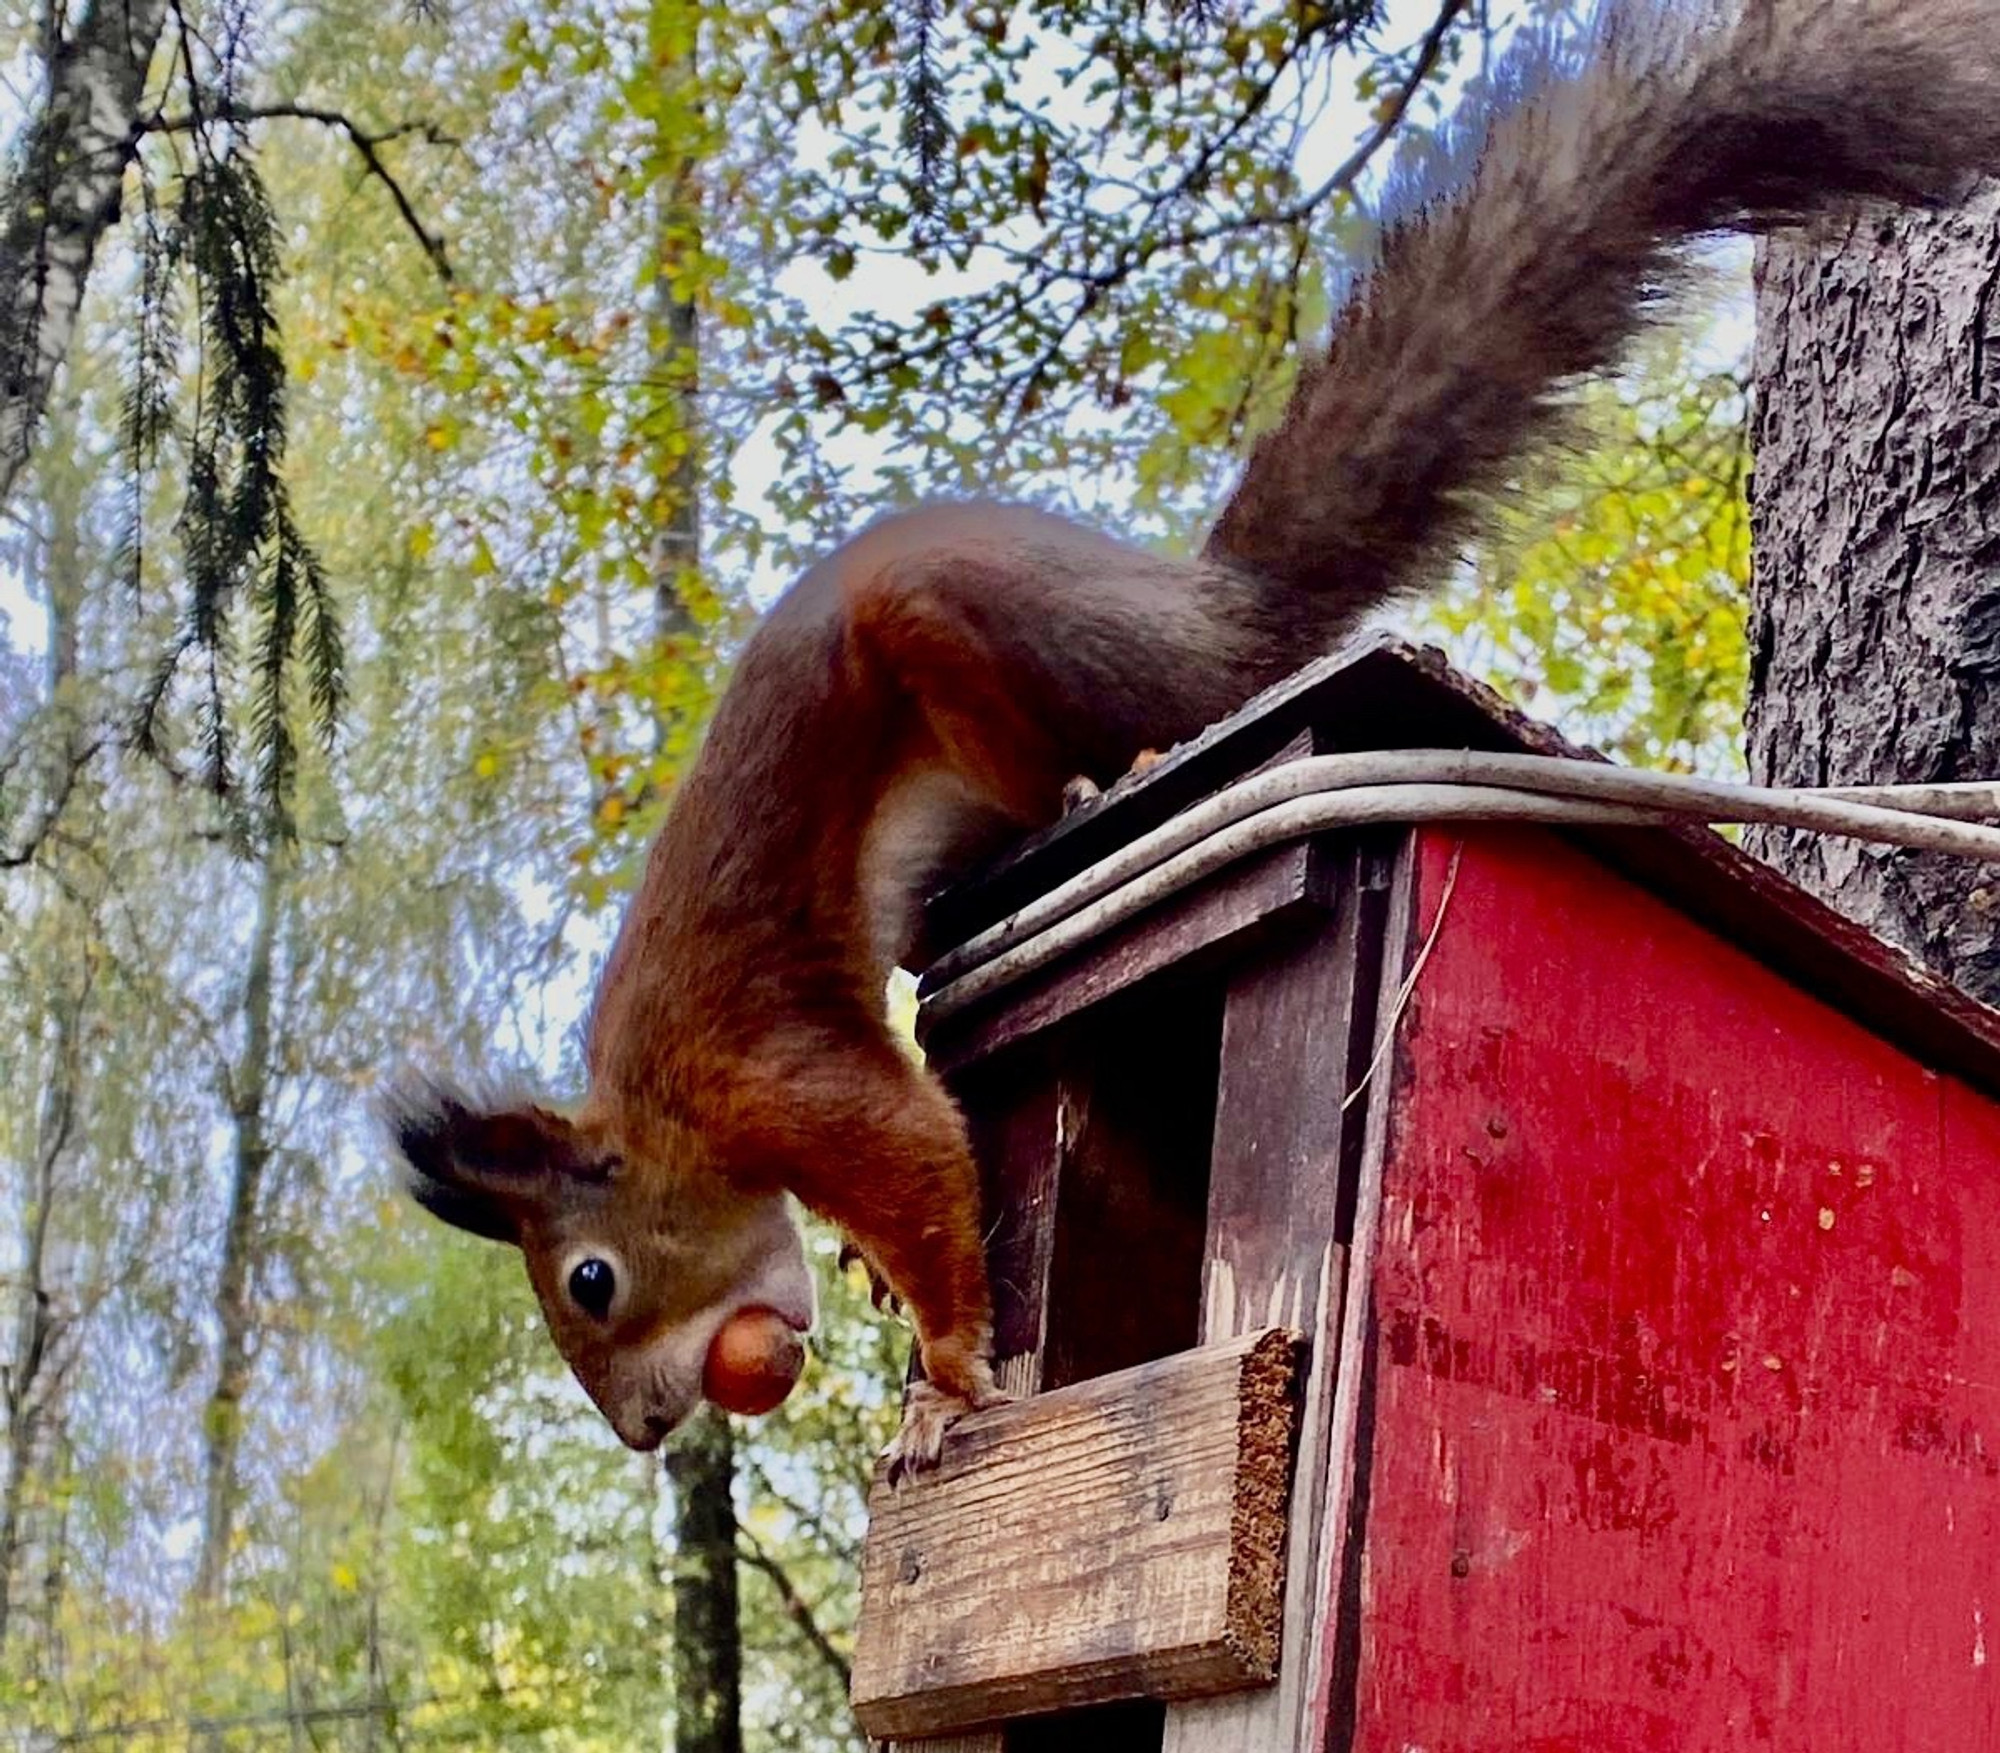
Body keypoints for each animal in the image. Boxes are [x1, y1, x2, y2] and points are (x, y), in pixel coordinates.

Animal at [390, 0, 2000, 1472]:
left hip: (979, 635)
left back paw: (1109, 777)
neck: (665, 1112)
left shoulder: (767, 1067)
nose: (648, 1427)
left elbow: (908, 1152)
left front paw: (948, 1374)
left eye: (591, 1280)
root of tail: (1199, 613)